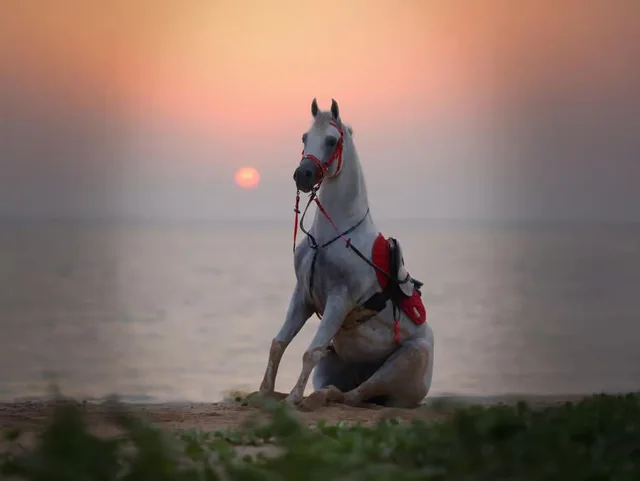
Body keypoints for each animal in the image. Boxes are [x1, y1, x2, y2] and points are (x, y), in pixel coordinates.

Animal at [258, 98, 435, 408]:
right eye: (305, 137)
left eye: (331, 140)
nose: (303, 175)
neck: (333, 234)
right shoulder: (302, 295)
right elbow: (279, 343)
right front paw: (263, 392)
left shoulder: (339, 300)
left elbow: (310, 351)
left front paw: (293, 398)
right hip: (334, 362)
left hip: (407, 359)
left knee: (357, 394)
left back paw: (321, 397)